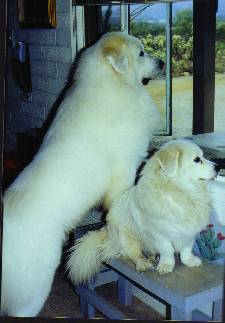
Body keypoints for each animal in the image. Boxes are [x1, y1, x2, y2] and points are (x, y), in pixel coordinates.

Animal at [67, 139, 220, 284]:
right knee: (134, 254)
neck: (180, 192)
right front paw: (166, 265)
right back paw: (144, 263)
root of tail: (106, 229)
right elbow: (167, 250)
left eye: (203, 156)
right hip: (126, 237)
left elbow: (186, 249)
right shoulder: (160, 234)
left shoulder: (188, 232)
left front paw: (190, 261)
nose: (218, 167)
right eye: (197, 159)